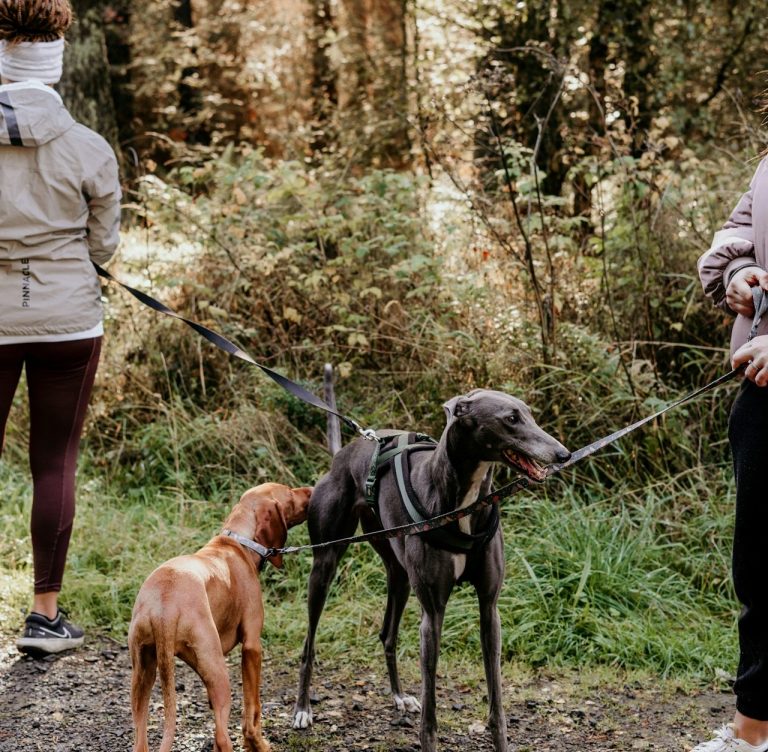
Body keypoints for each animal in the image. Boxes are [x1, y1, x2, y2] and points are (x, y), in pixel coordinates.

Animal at [129, 482, 312, 752]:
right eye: (289, 492)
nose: (311, 490)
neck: (238, 542)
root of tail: (165, 607)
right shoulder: (252, 647)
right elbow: (253, 710)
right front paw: (256, 743)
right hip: (218, 673)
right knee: (223, 735)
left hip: (143, 674)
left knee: (141, 738)